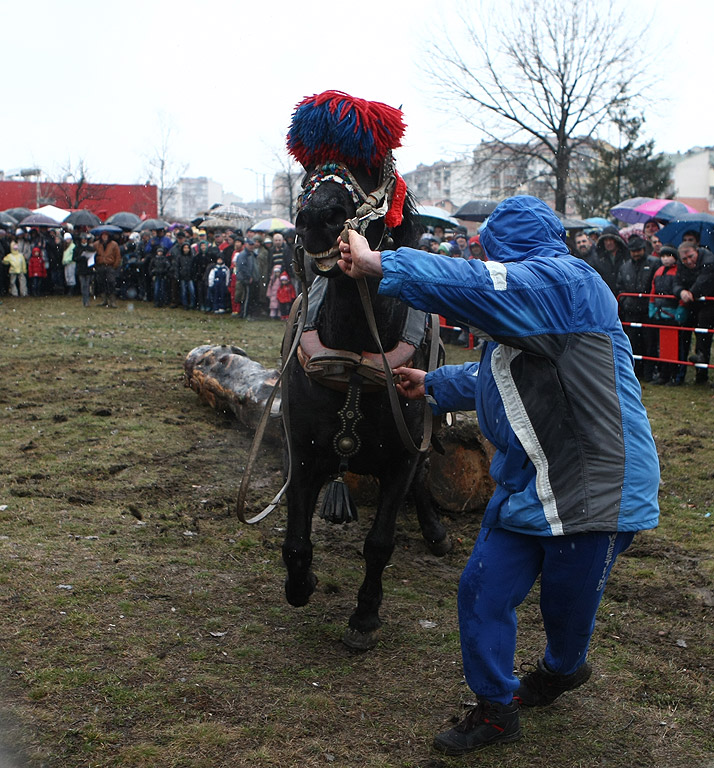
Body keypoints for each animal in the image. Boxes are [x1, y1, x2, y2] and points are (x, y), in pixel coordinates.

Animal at [280, 160, 450, 648]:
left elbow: (379, 543)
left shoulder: (399, 458)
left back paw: (436, 533)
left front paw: (365, 616)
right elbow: (295, 538)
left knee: (422, 477)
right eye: (309, 173)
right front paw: (302, 583)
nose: (319, 219)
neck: (354, 354)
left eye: (372, 169)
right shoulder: (302, 452)